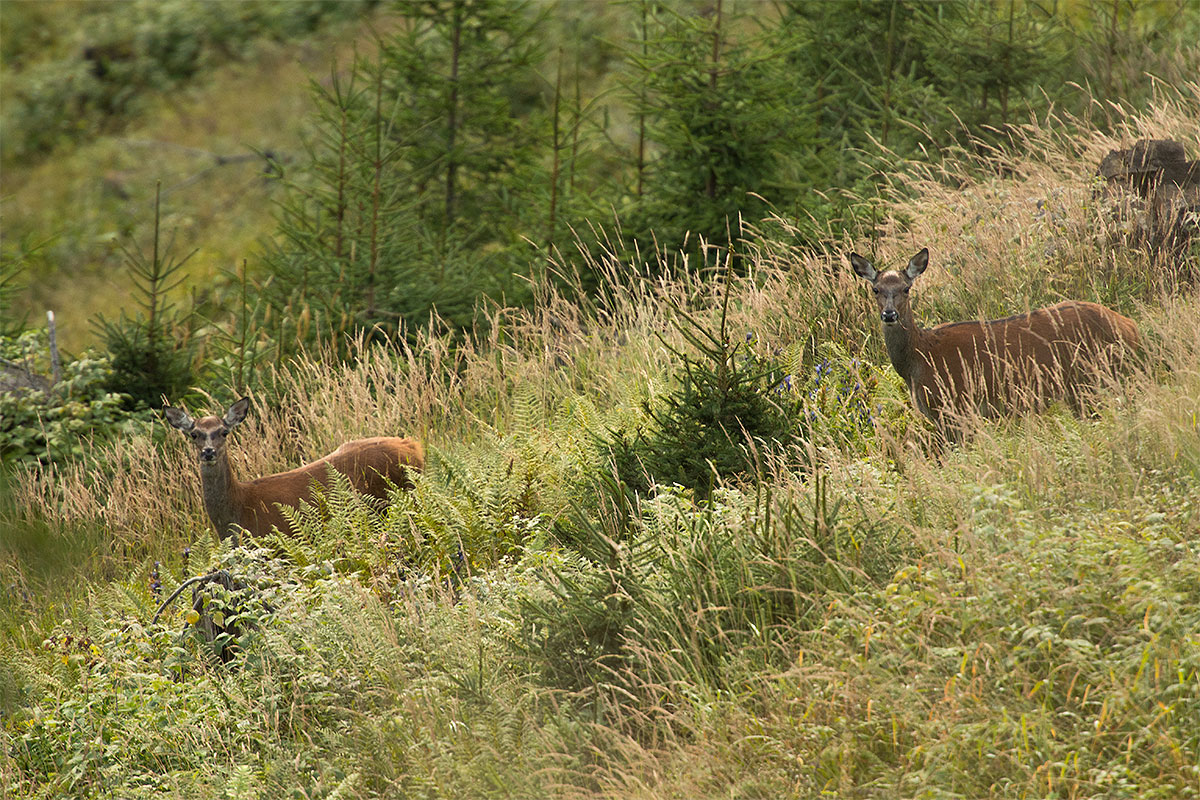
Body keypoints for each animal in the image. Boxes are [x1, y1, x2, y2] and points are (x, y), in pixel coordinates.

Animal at [849, 248, 1137, 441]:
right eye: (875, 289)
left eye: (906, 289)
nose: (889, 315)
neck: (919, 359)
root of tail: (1131, 327)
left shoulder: (955, 408)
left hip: (1094, 381)